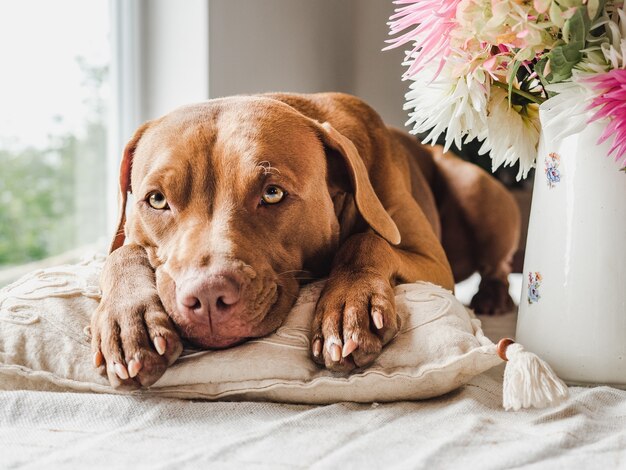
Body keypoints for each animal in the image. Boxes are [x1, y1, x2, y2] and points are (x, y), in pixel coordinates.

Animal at [88, 92, 516, 390]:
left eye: (273, 193)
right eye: (157, 200)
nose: (208, 297)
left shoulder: (431, 261)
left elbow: (367, 241)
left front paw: (348, 312)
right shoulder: (127, 240)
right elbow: (122, 252)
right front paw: (130, 323)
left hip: (477, 187)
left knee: (497, 264)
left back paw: (494, 296)